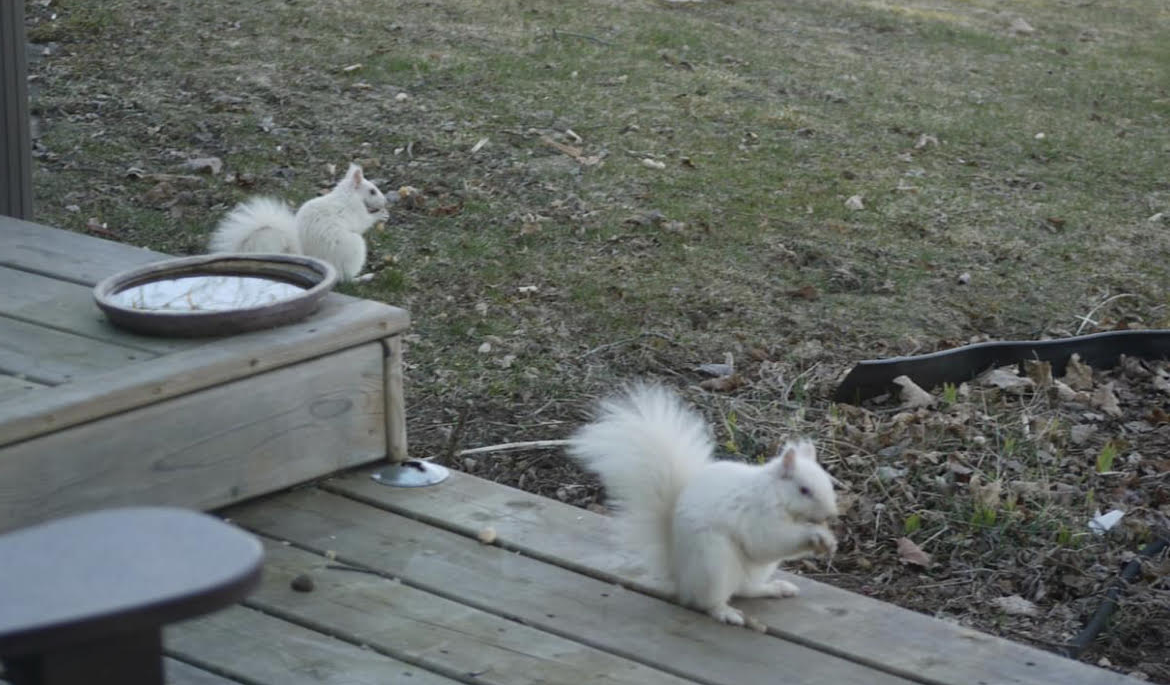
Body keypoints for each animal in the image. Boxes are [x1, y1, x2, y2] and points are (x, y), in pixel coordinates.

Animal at [208, 163, 389, 281]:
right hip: (353, 249)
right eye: (372, 191)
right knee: (344, 278)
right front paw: (380, 215)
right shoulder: (353, 210)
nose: (385, 201)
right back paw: (364, 277)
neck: (348, 195)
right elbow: (363, 222)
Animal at [567, 383, 839, 628]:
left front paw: (828, 542)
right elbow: (768, 540)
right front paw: (816, 535)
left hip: (752, 570)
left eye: (829, 483)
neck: (777, 497)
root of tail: (680, 575)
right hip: (714, 563)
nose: (831, 514)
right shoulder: (757, 515)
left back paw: (774, 588)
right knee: (708, 601)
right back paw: (726, 612)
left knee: (745, 588)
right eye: (804, 490)